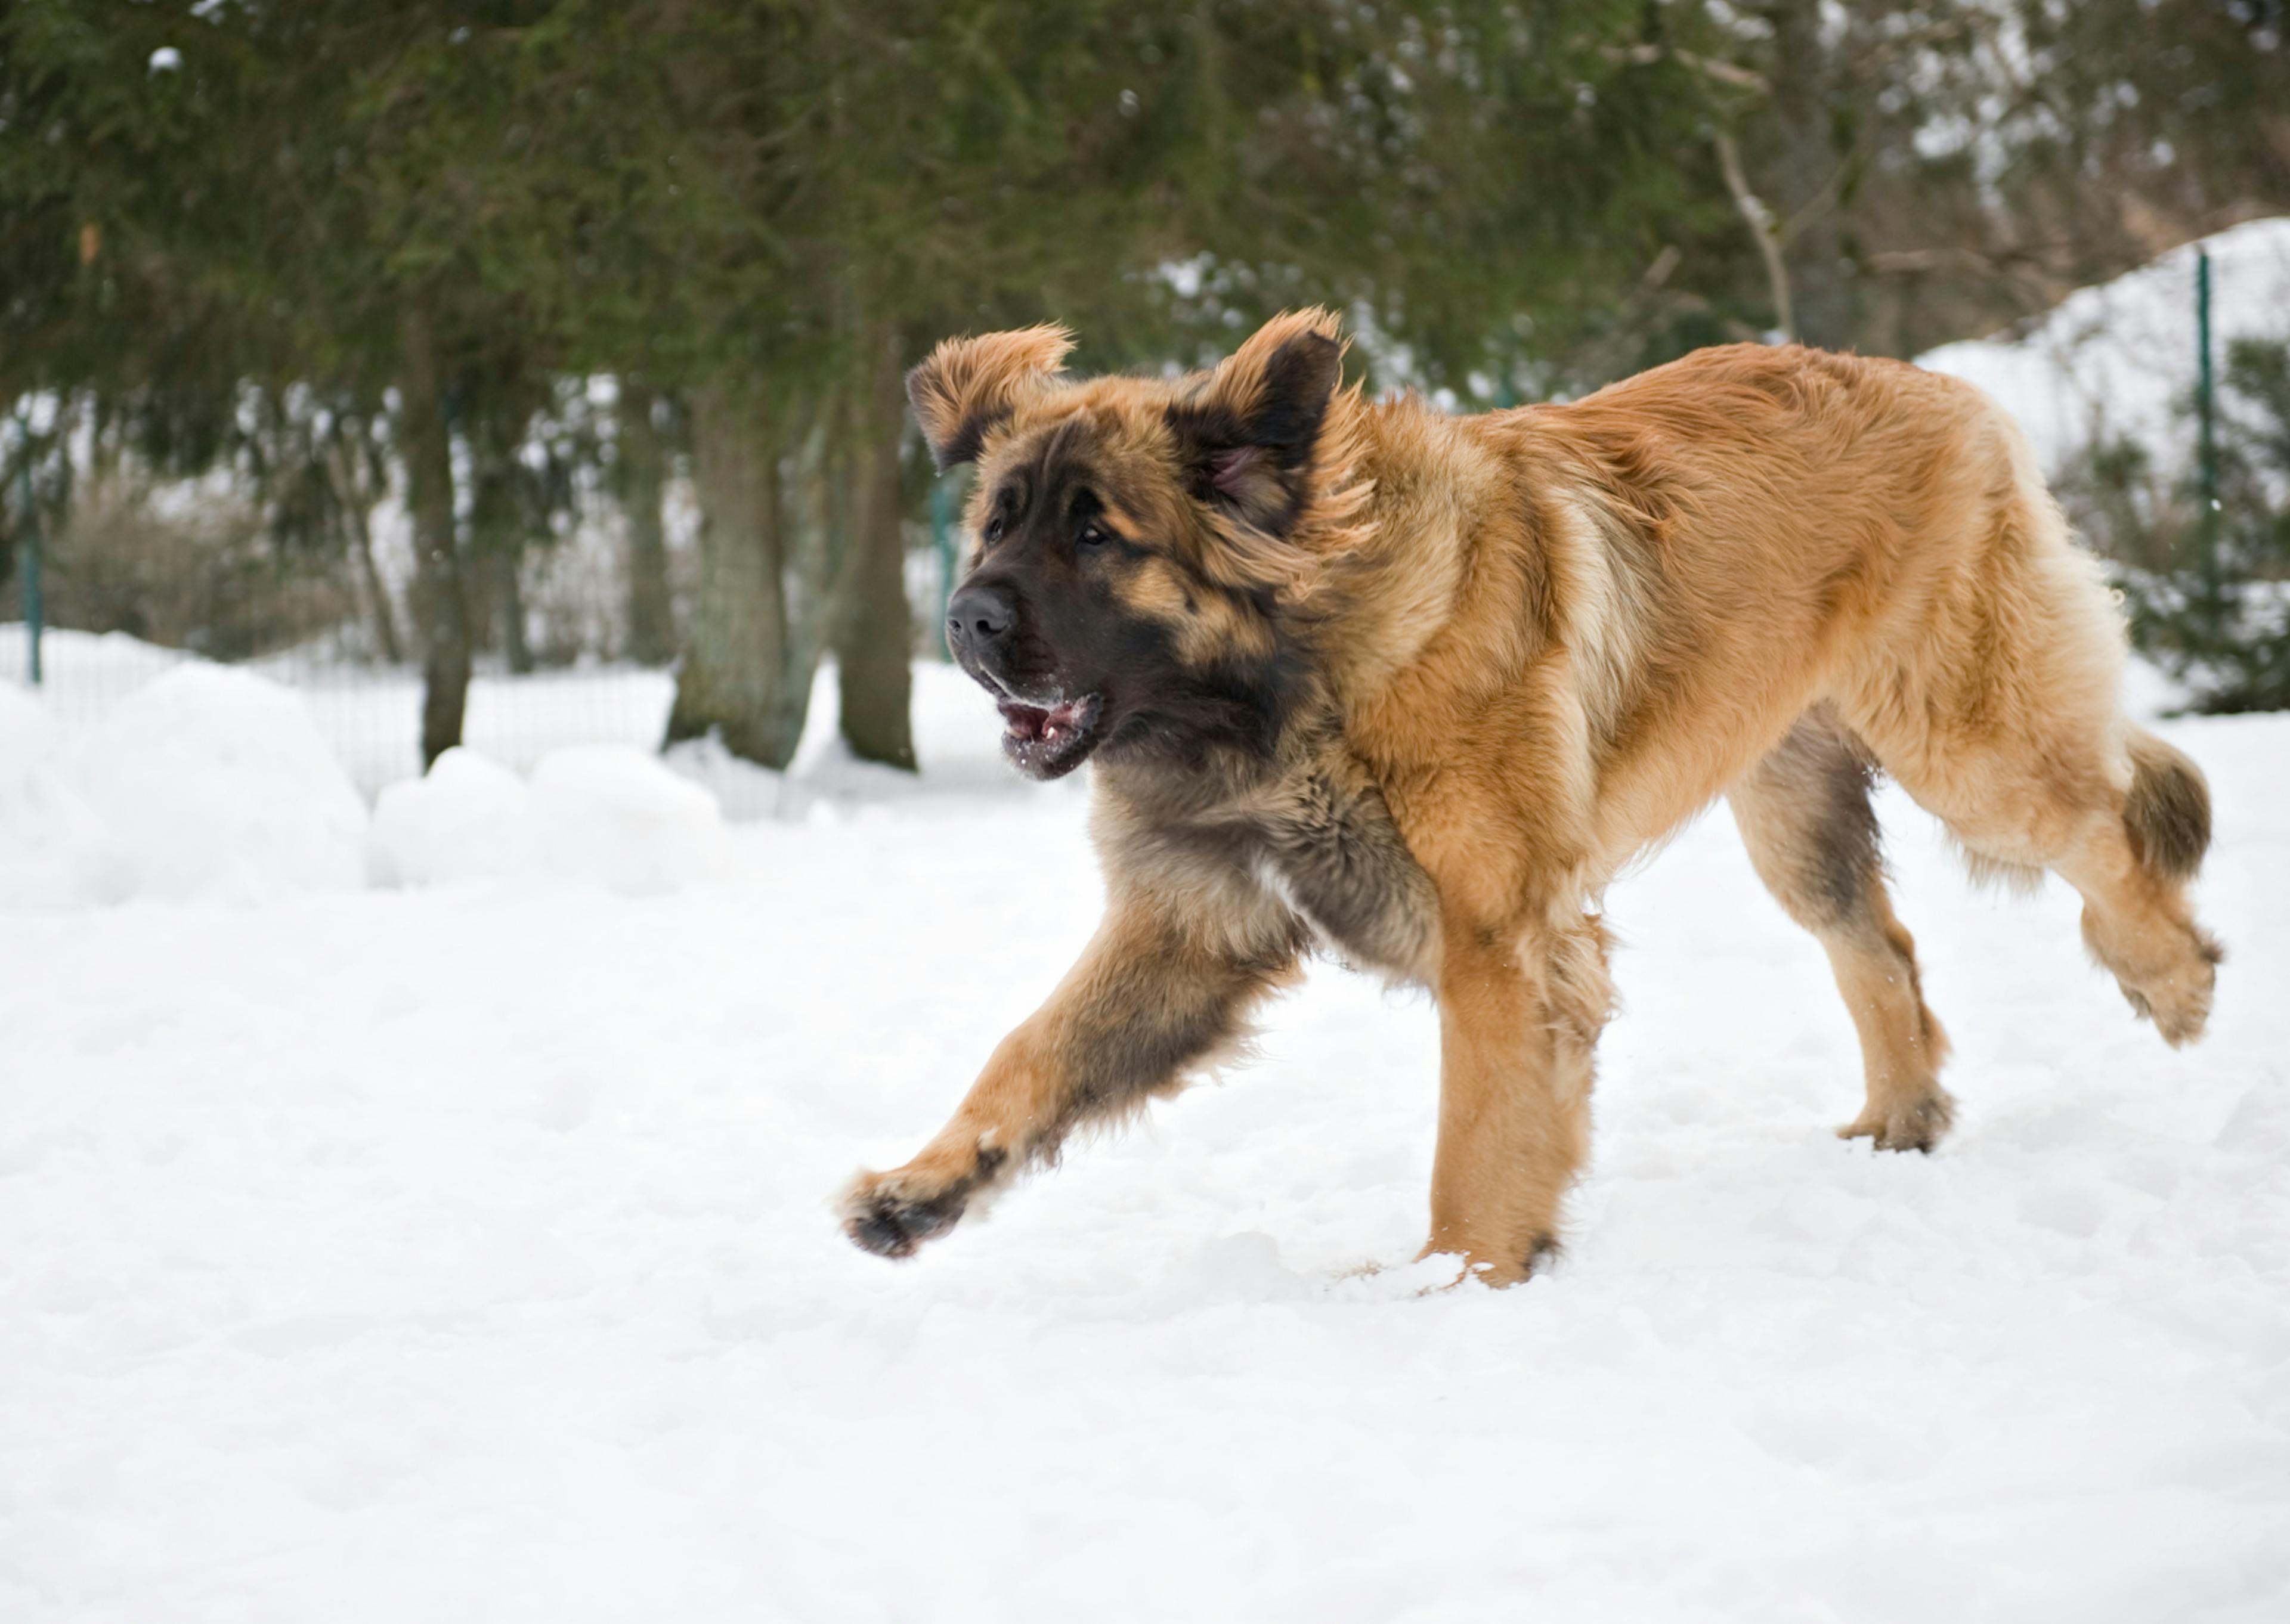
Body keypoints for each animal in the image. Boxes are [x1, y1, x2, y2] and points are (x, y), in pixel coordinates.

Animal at [838, 311, 2217, 1282]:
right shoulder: (1192, 921)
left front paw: (1454, 1285)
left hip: (1967, 745)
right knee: (1878, 944)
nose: (965, 621)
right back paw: (1901, 1117)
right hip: (1792, 810)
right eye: (996, 527)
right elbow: (1035, 1053)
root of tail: (1947, 387)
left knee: (2105, 834)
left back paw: (2173, 979)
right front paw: (923, 1186)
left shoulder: (1500, 941)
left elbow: (1478, 1140)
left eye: (1096, 536)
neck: (1296, 678)